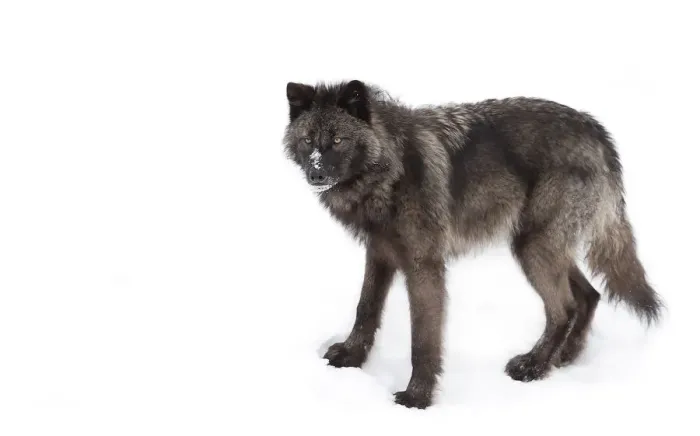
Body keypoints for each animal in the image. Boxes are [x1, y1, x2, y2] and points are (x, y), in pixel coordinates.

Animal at [282, 79, 662, 409]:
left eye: (338, 140)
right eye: (308, 140)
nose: (316, 173)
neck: (392, 169)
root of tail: (596, 129)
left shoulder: (424, 265)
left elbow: (423, 340)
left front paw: (417, 397)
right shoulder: (379, 253)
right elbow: (366, 309)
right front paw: (351, 356)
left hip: (533, 248)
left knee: (564, 309)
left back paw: (533, 367)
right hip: (540, 247)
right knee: (589, 295)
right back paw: (564, 356)